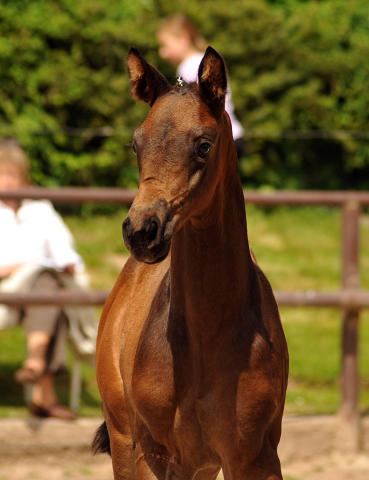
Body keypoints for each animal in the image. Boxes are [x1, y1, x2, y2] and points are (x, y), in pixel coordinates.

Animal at [93, 46, 288, 480]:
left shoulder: (255, 457)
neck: (205, 337)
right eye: (136, 145)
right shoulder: (153, 452)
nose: (142, 231)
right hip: (123, 437)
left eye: (203, 145)